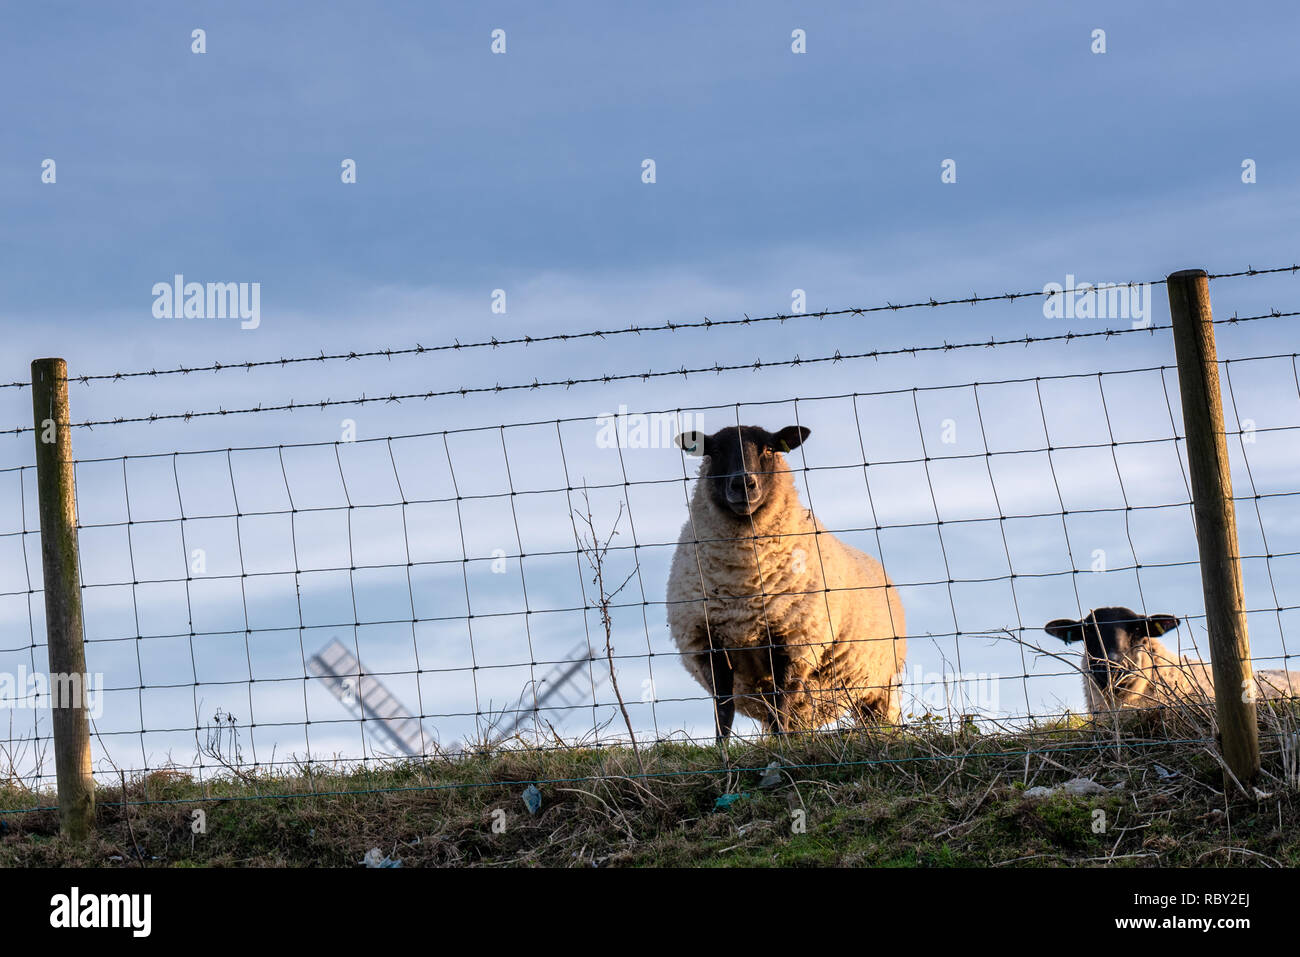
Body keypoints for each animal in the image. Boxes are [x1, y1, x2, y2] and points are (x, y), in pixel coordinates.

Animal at [666, 424, 906, 741]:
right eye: (715, 450)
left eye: (769, 448)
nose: (743, 484)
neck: (743, 586)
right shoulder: (709, 646)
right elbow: (724, 708)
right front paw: (721, 747)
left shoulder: (792, 643)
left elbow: (780, 702)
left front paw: (781, 746)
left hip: (882, 685)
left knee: (879, 720)